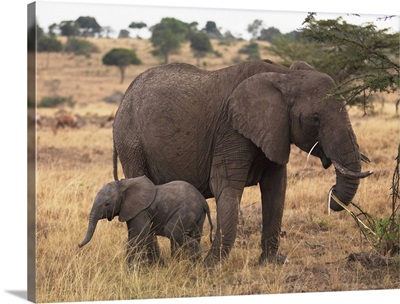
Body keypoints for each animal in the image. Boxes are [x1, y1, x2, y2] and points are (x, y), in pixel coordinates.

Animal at [77, 176, 212, 266]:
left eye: (107, 204)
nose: (78, 245)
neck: (123, 184)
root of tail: (203, 201)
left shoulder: (140, 211)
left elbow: (138, 236)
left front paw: (129, 269)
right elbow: (138, 235)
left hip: (187, 210)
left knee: (172, 231)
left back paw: (196, 256)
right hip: (197, 214)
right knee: (194, 234)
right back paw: (192, 263)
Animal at [111, 59, 372, 266]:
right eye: (315, 119)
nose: (332, 195)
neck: (283, 75)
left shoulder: (275, 132)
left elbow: (276, 190)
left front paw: (270, 264)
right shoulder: (230, 130)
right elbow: (226, 187)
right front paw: (209, 266)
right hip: (131, 142)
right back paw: (152, 264)